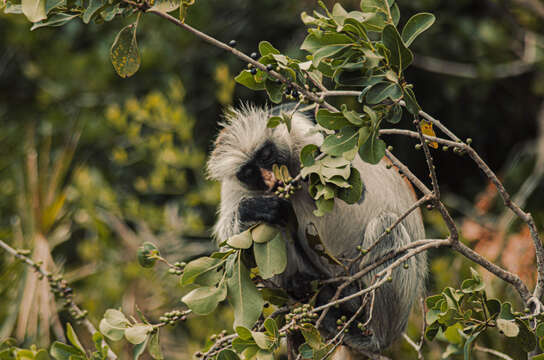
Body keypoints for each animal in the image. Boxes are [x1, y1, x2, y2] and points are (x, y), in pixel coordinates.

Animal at [206, 102, 428, 356]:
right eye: (249, 172)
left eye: (266, 155)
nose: (269, 177)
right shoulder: (236, 184)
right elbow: (231, 244)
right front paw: (253, 209)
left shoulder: (302, 131)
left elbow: (355, 189)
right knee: (276, 225)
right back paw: (301, 287)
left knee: (387, 228)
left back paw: (372, 336)